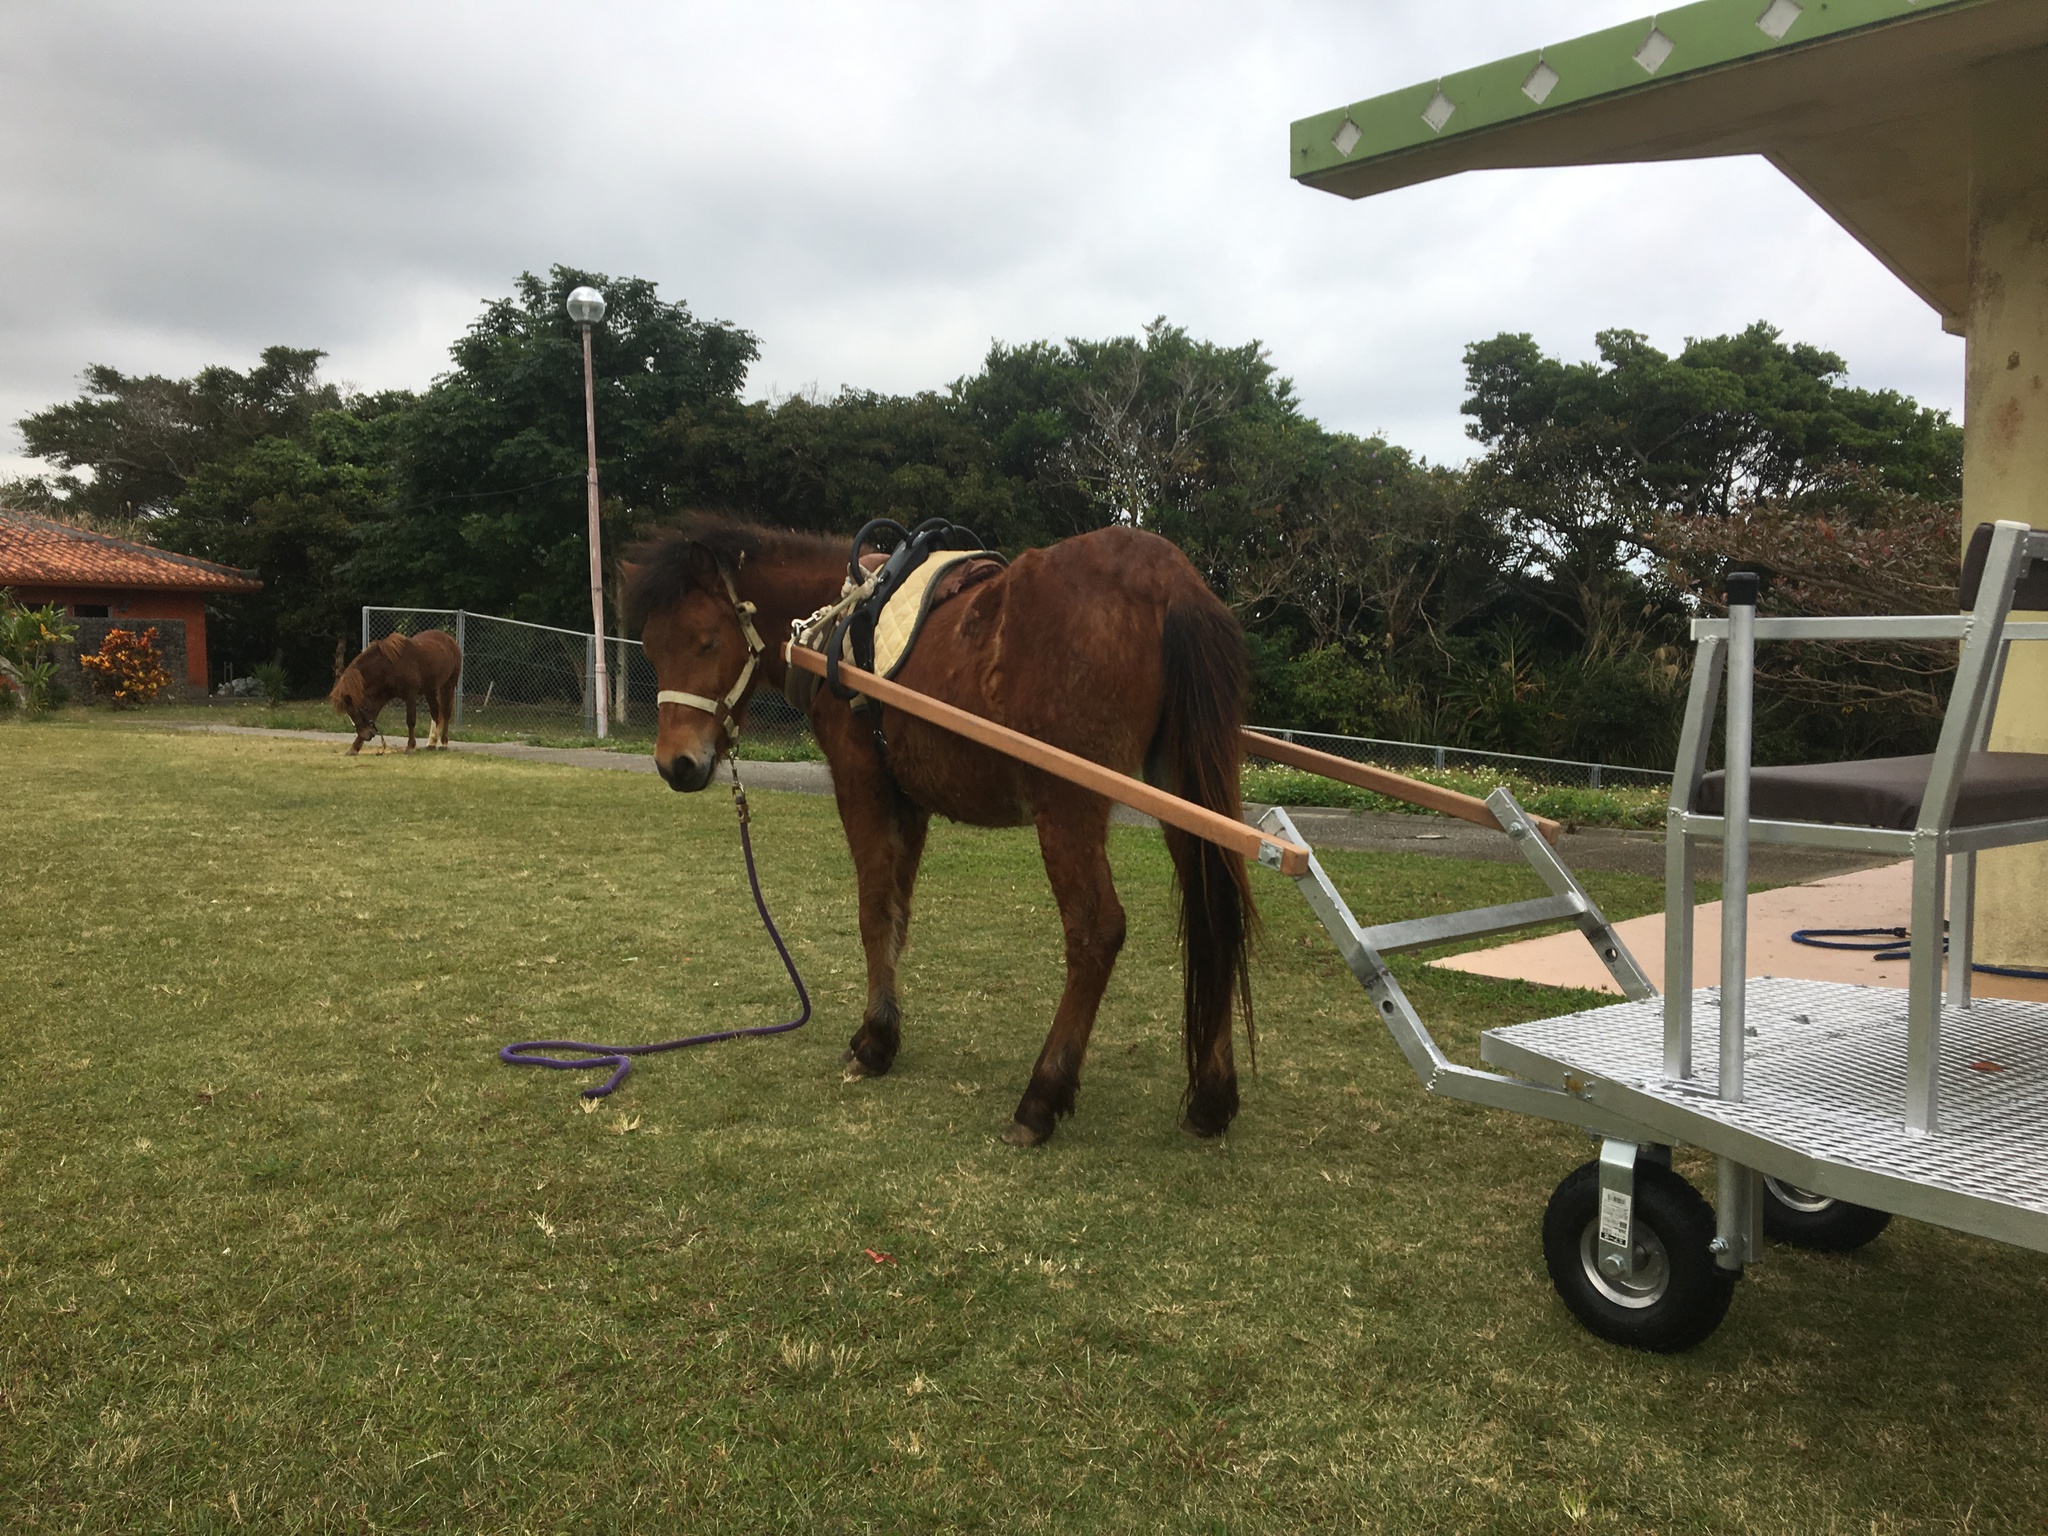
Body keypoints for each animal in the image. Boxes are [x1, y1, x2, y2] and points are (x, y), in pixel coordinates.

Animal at [329, 630, 462, 757]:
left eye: (355, 711)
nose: (368, 735)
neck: (391, 667)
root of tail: (450, 640)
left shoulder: (410, 695)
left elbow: (410, 721)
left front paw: (410, 747)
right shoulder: (379, 698)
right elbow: (373, 717)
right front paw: (354, 748)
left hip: (449, 684)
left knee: (446, 713)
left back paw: (444, 743)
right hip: (430, 689)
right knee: (435, 713)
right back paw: (431, 743)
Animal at [622, 524, 1253, 1146]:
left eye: (706, 641)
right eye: (651, 646)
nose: (675, 764)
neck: (838, 624)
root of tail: (1169, 579)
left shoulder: (862, 784)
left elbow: (874, 909)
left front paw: (875, 1042)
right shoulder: (910, 802)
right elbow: (898, 912)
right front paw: (882, 1030)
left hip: (1067, 805)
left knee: (1096, 931)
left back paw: (1041, 1096)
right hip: (1184, 794)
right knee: (1215, 911)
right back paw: (1212, 1096)